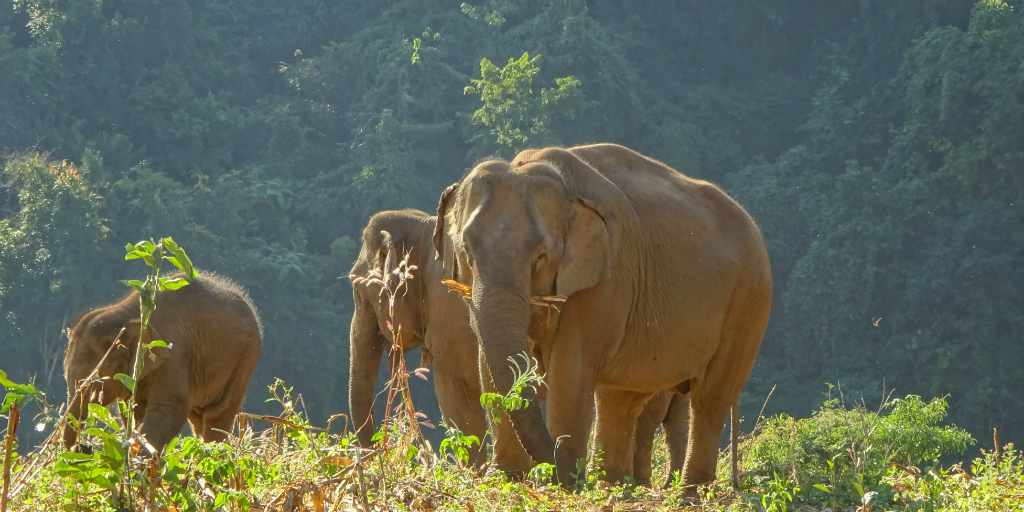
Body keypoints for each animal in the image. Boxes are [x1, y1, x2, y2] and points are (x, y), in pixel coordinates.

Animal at [62, 272, 262, 452]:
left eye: (107, 367)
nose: (85, 447)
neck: (128, 314)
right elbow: (132, 412)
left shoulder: (172, 356)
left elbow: (169, 410)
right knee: (197, 417)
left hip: (245, 357)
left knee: (217, 414)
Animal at [428, 144, 770, 487]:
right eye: (467, 251)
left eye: (541, 257)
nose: (549, 471)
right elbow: (489, 362)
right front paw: (509, 477)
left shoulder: (605, 278)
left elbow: (571, 367)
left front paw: (564, 482)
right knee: (620, 398)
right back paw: (613, 484)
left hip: (748, 301)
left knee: (710, 398)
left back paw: (686, 490)